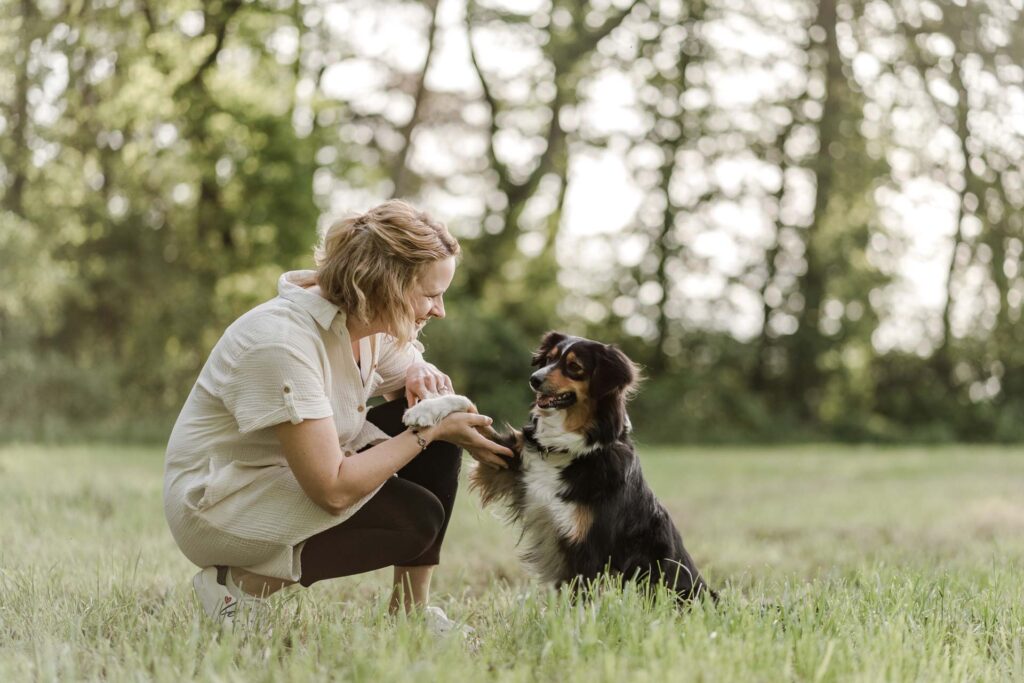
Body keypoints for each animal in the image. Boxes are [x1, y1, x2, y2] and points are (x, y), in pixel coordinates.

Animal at [403, 331, 716, 602]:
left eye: (574, 367)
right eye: (549, 359)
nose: (534, 379)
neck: (572, 449)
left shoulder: (589, 551)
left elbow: (581, 604)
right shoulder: (505, 462)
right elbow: (468, 405)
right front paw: (425, 410)